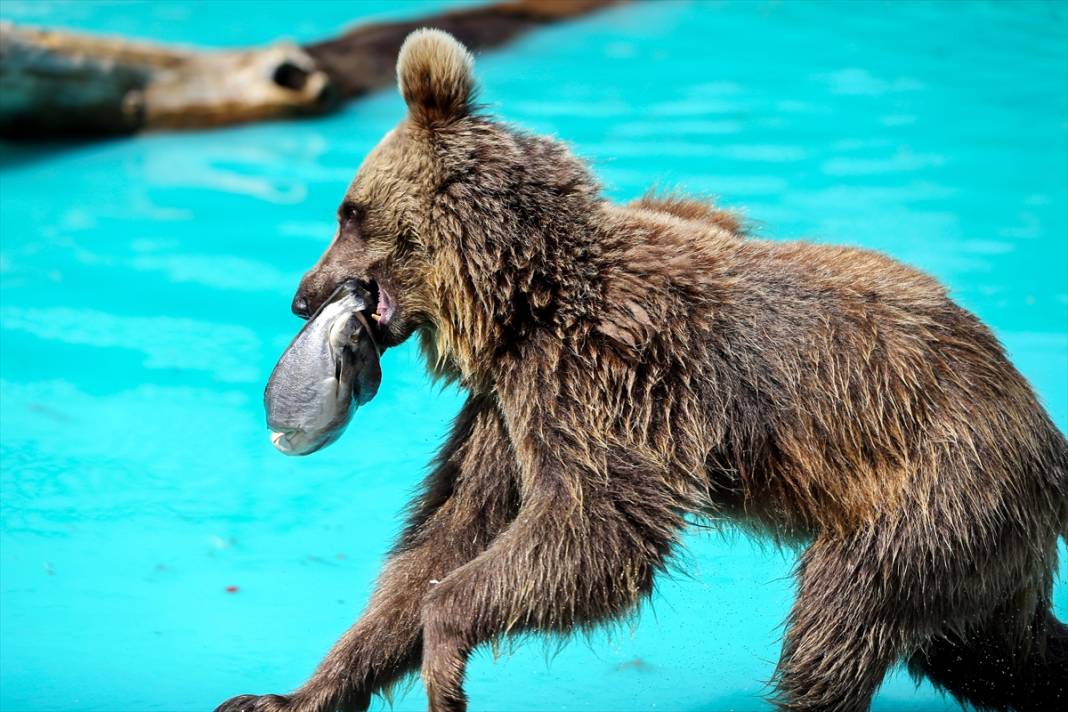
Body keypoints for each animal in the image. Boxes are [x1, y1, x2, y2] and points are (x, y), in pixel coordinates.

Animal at [218, 29, 1068, 712]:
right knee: (988, 652)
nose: (302, 296)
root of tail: (1042, 434)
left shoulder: (604, 378)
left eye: (347, 212)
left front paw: (446, 648)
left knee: (839, 622)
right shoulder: (505, 411)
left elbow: (598, 532)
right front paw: (287, 694)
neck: (522, 298)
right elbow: (449, 535)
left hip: (934, 490)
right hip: (972, 552)